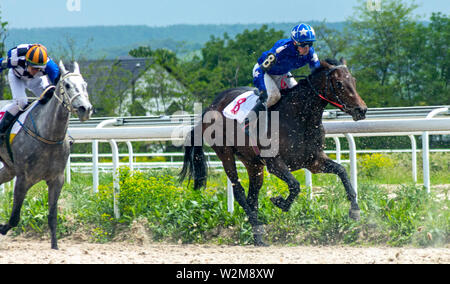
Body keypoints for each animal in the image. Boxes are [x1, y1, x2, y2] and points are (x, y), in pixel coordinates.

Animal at [0, 61, 92, 250]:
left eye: (85, 85)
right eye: (67, 85)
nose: (85, 109)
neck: (48, 135)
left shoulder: (56, 179)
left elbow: (52, 216)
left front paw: (55, 246)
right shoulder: (23, 178)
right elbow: (14, 218)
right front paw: (2, 228)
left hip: (8, 170)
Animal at [181, 57, 368, 244]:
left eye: (354, 81)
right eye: (339, 83)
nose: (362, 110)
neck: (298, 117)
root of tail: (211, 106)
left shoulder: (313, 160)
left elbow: (342, 171)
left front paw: (355, 211)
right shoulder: (274, 163)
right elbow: (295, 185)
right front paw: (280, 202)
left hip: (253, 163)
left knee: (252, 196)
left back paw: (258, 236)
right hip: (225, 154)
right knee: (239, 192)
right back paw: (258, 230)